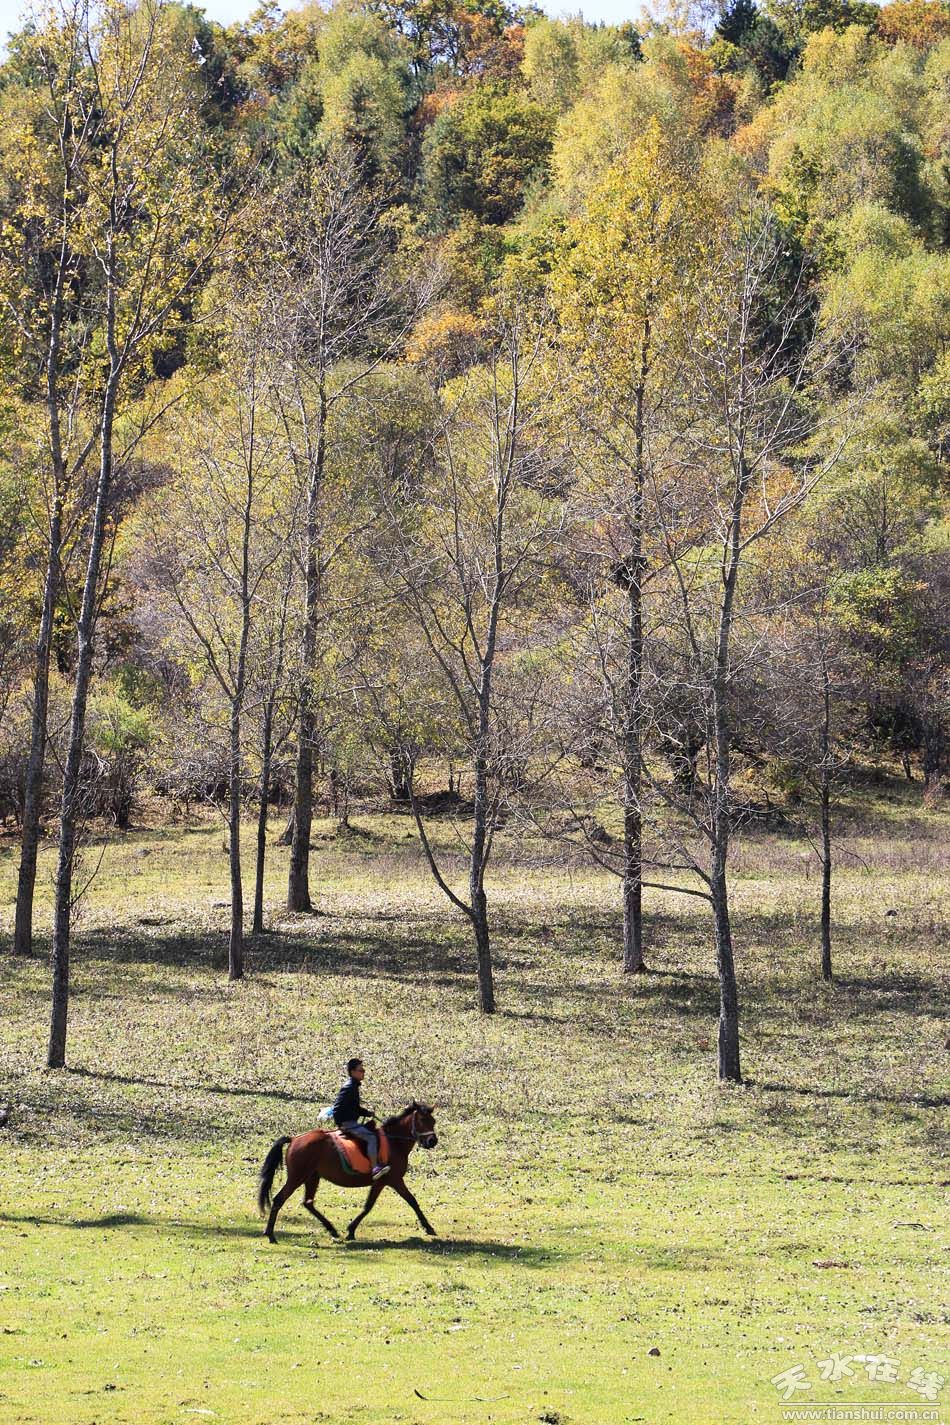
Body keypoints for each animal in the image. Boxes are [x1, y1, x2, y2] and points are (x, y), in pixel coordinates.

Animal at [257, 1101, 439, 1244]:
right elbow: (408, 1201)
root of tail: (294, 1139)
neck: (394, 1142)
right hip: (297, 1177)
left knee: (308, 1203)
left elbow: (372, 1205)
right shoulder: (391, 1180)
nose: (433, 1141)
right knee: (279, 1199)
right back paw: (270, 1234)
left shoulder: (384, 1182)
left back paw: (331, 1229)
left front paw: (350, 1230)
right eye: (422, 1120)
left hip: (312, 1177)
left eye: (433, 1121)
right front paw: (428, 1227)